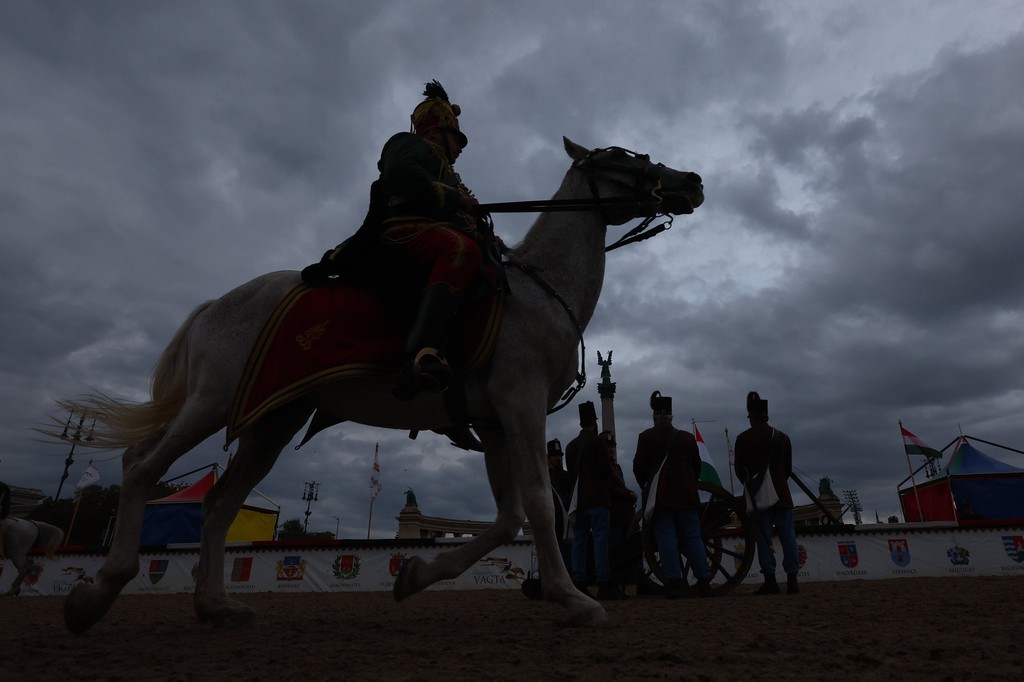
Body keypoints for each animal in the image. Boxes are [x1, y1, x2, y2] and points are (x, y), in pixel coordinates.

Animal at [56, 135, 704, 630]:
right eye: (621, 155)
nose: (693, 179)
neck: (538, 291)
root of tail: (217, 304)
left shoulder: (495, 422)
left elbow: (507, 518)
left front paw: (416, 575)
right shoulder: (520, 407)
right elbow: (542, 507)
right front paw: (573, 598)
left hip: (271, 422)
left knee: (217, 505)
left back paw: (217, 606)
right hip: (212, 402)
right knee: (143, 466)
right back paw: (98, 593)